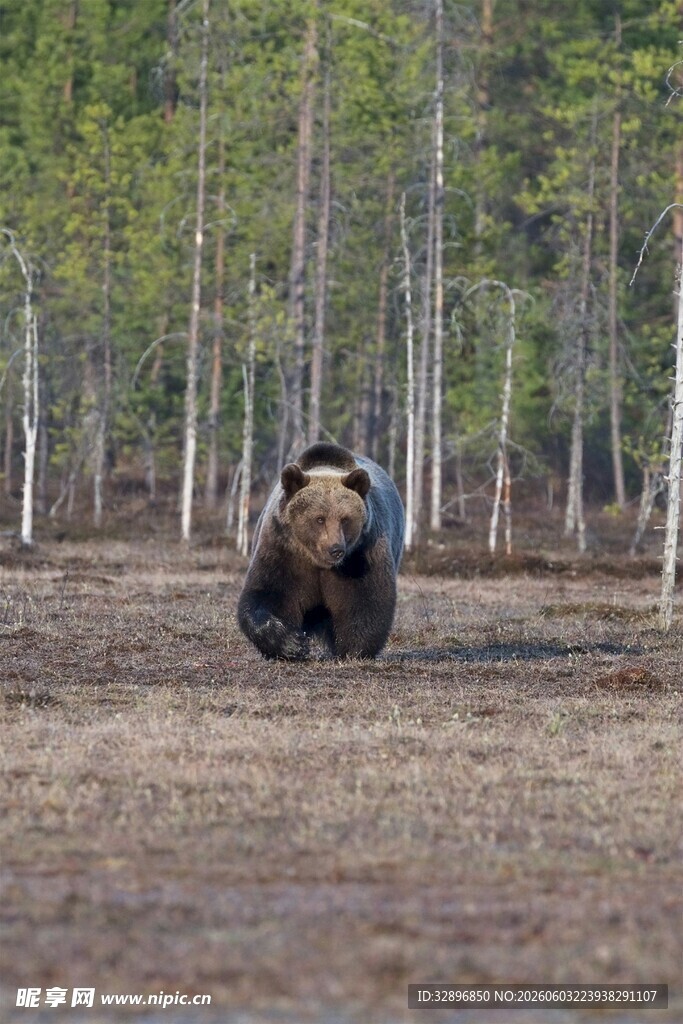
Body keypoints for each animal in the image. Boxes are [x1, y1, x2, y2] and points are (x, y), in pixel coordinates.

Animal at [237, 442, 405, 660]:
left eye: (345, 519)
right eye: (319, 519)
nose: (336, 549)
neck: (317, 561)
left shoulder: (360, 555)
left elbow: (367, 598)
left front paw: (353, 649)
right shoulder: (282, 551)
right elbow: (267, 595)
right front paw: (292, 643)